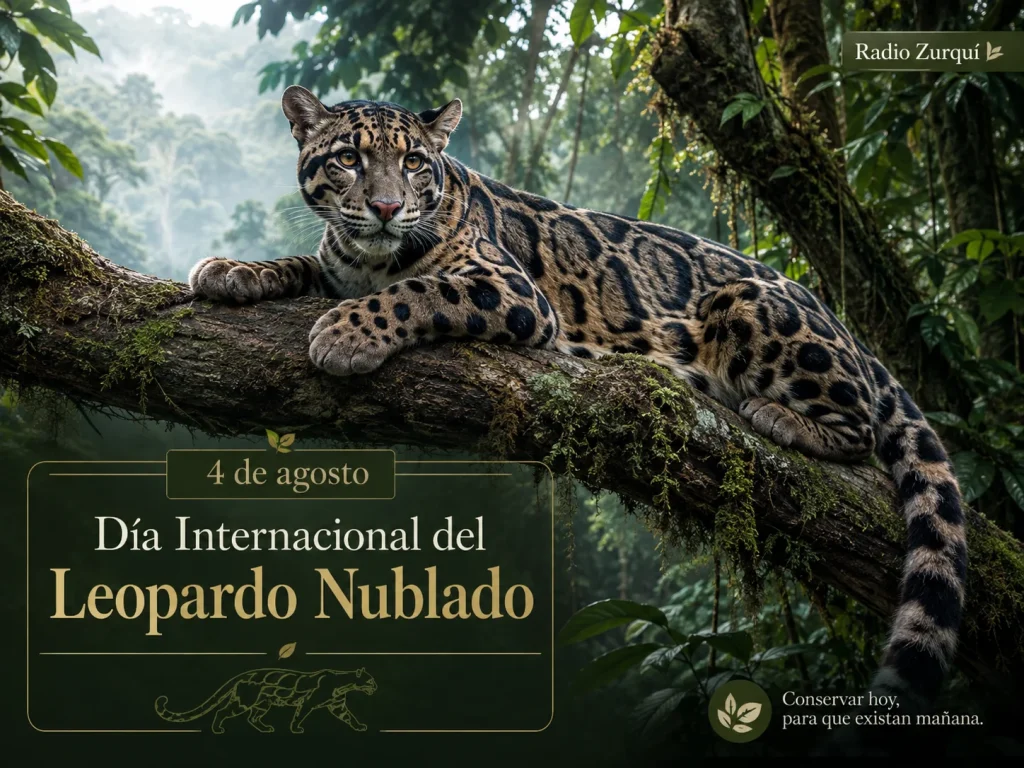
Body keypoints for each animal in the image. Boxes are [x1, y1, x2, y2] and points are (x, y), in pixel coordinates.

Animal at [154, 666, 376, 733]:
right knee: (222, 711)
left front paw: (359, 727)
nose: (376, 687)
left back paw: (265, 729)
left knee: (252, 718)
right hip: (244, 702)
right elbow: (299, 716)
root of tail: (243, 675)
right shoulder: (307, 704)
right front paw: (296, 729)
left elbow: (350, 717)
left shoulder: (338, 706)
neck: (343, 684)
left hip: (262, 704)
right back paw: (217, 729)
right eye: (370, 681)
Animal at [188, 85, 967, 713]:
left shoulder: (510, 291)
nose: (384, 207)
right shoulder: (336, 264)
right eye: (349, 158)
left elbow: (416, 291)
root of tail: (843, 322)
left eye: (413, 164)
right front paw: (234, 270)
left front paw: (347, 333)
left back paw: (778, 416)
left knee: (858, 427)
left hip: (751, 307)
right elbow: (303, 263)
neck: (367, 257)